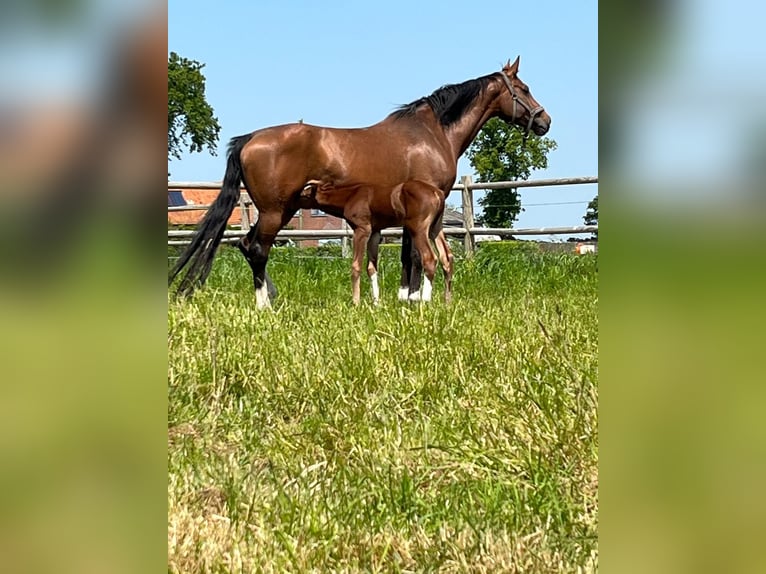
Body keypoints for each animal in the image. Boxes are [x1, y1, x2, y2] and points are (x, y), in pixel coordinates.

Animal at [302, 180, 456, 306]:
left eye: (304, 195)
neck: (350, 196)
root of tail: (437, 193)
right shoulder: (375, 233)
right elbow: (371, 267)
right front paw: (376, 302)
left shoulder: (362, 229)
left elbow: (356, 265)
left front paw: (356, 302)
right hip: (435, 228)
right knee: (446, 257)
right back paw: (447, 303)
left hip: (418, 228)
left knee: (430, 258)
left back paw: (425, 302)